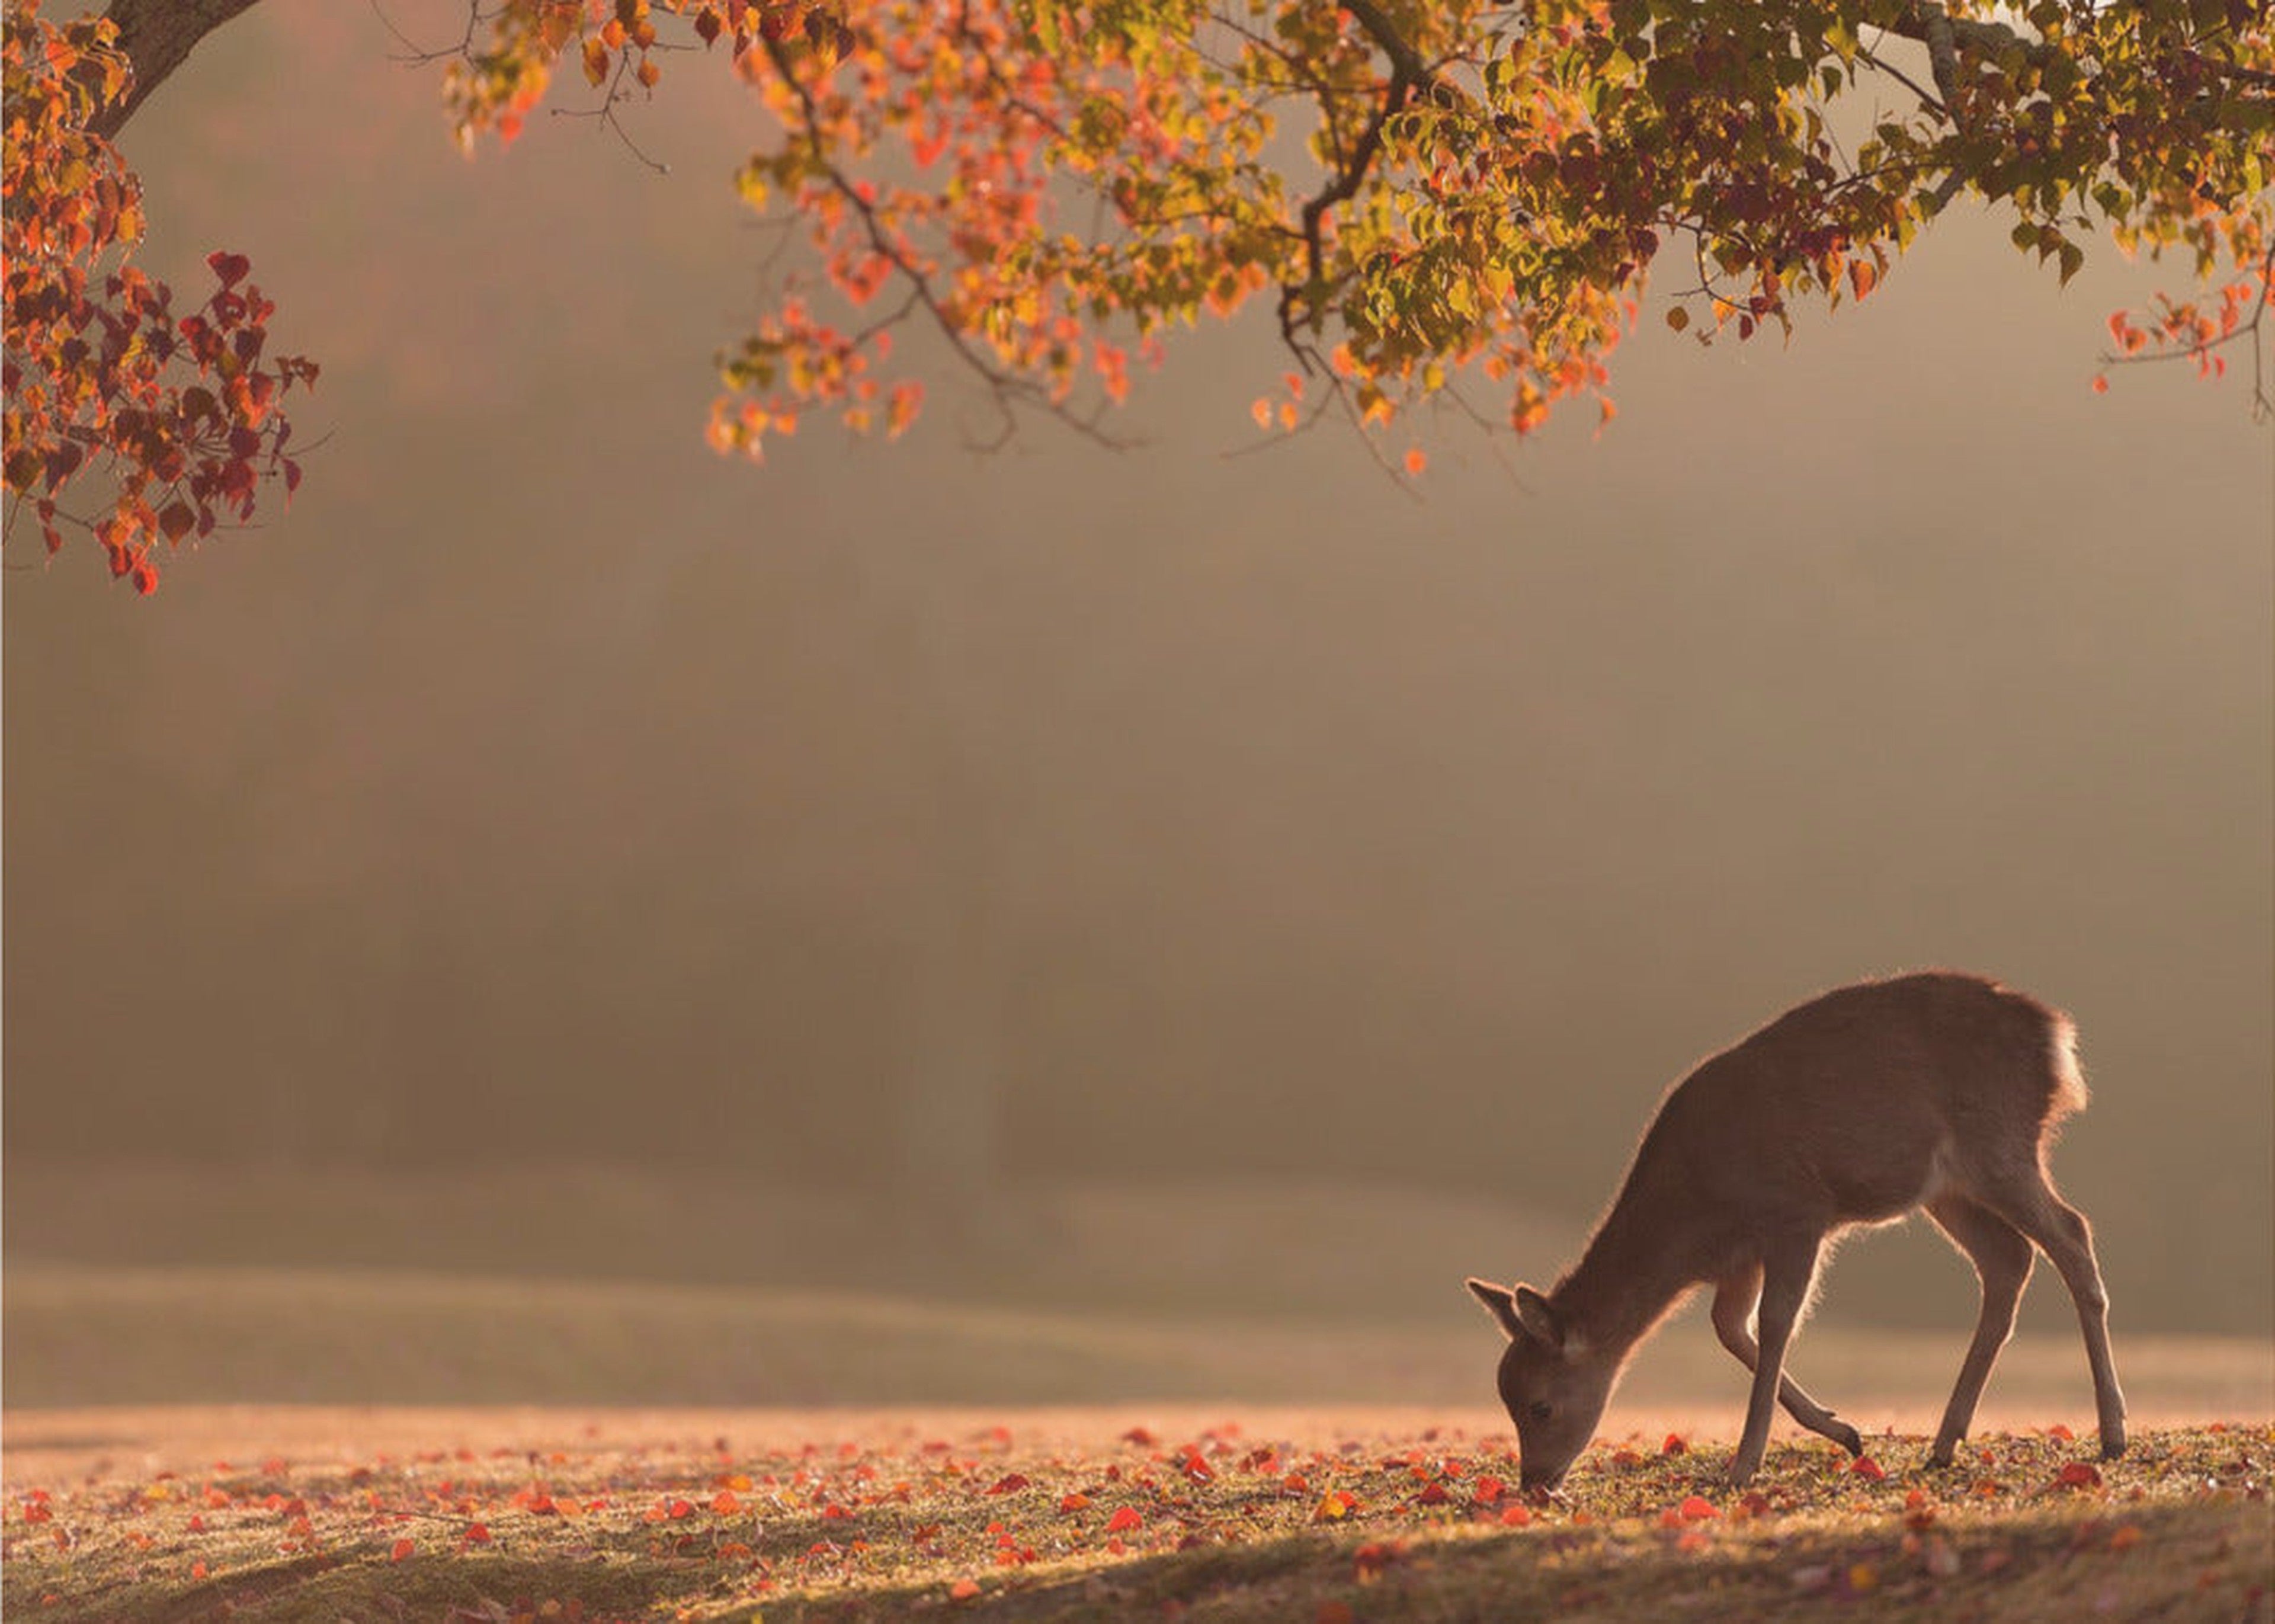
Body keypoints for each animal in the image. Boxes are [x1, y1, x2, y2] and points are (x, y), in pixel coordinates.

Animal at [1465, 969, 2120, 1482]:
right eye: (1506, 1397)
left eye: (1540, 1405)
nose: (1535, 1482)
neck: (1693, 1213)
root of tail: (2056, 1036)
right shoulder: (1738, 1257)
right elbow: (1731, 1328)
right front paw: (1845, 1431)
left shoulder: (1796, 1213)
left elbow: (1777, 1322)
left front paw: (1743, 1464)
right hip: (1949, 1189)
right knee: (2008, 1259)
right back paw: (1943, 1442)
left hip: (1999, 1144)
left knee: (2072, 1233)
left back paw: (2112, 1432)